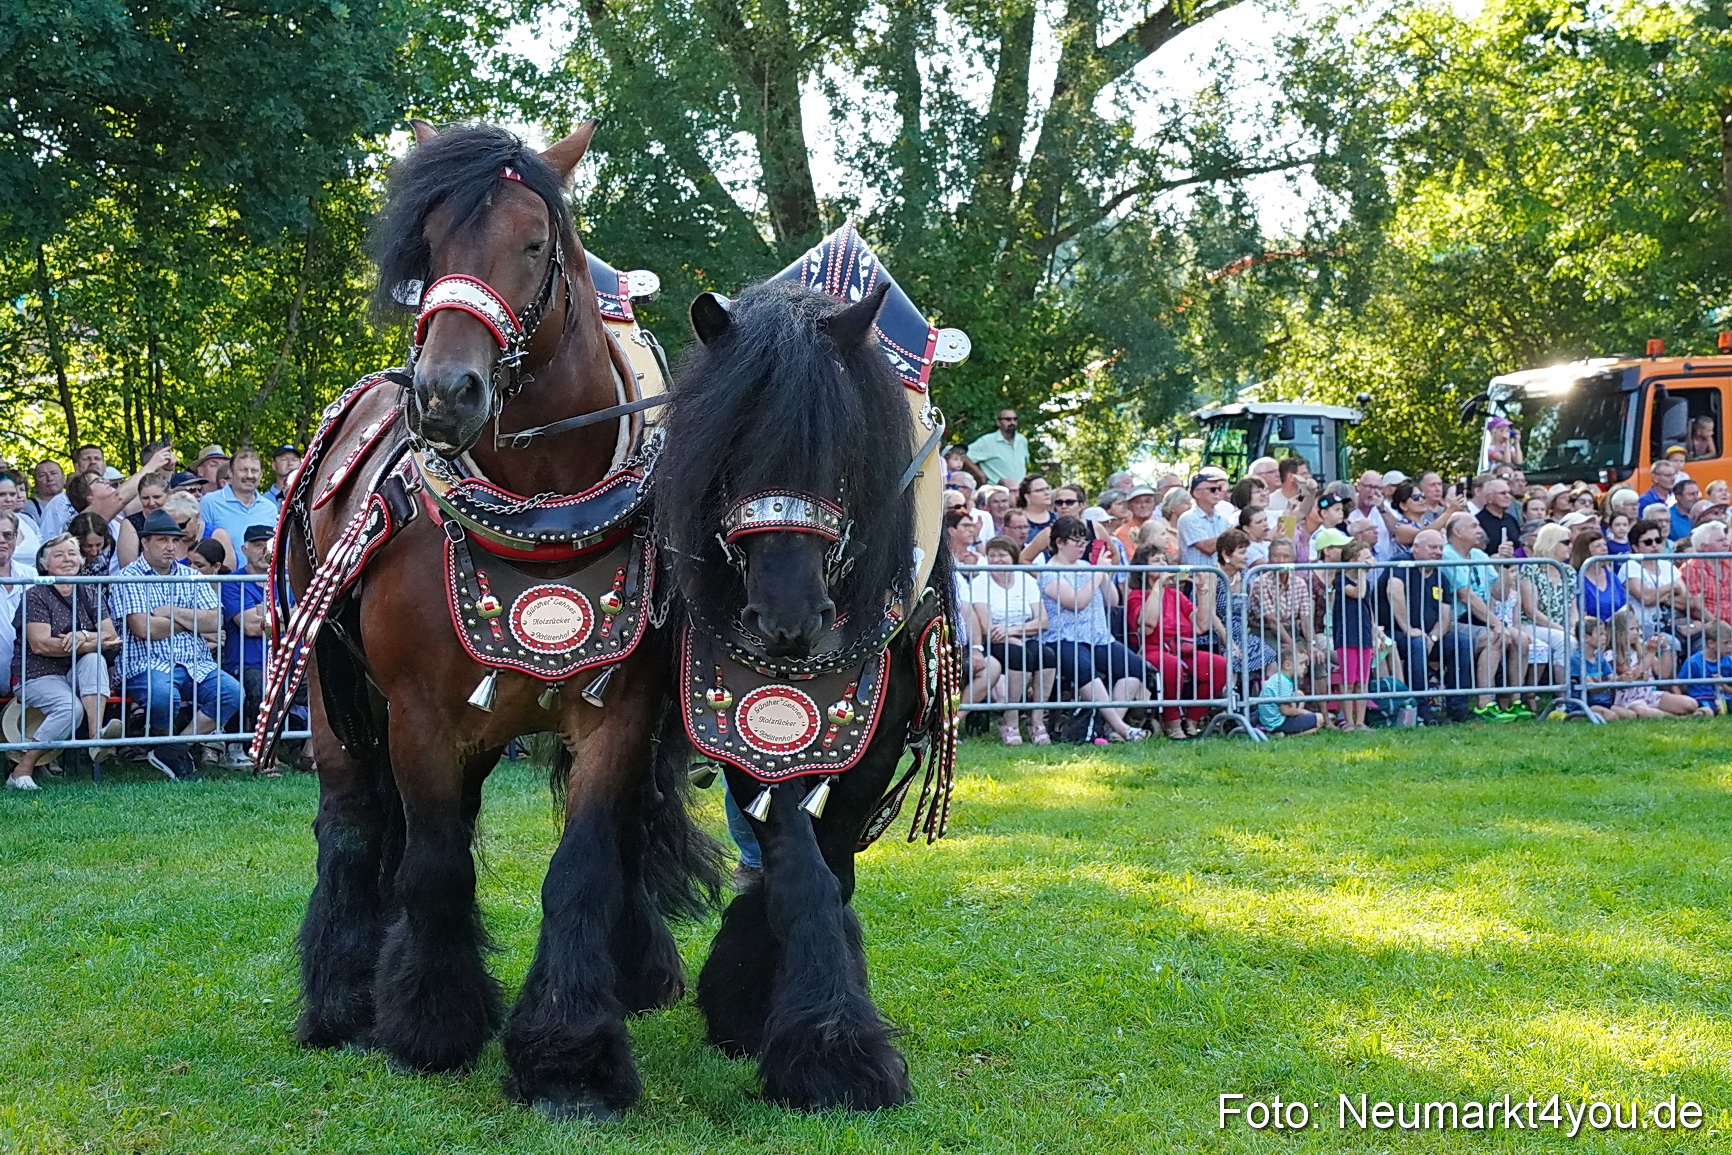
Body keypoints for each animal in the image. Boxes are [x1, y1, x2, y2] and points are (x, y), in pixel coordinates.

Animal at [273, 120, 718, 1118]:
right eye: (431, 246)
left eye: (534, 242)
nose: (444, 393)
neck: (542, 501)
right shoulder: (419, 716)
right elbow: (435, 862)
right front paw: (431, 1026)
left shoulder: (619, 714)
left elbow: (582, 864)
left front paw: (570, 1060)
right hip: (333, 695)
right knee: (352, 826)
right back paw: (342, 1000)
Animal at [654, 275, 959, 1110]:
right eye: (729, 446)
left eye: (842, 449)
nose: (787, 621)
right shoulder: (744, 727)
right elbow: (800, 867)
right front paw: (828, 1050)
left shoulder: (872, 743)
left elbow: (833, 868)